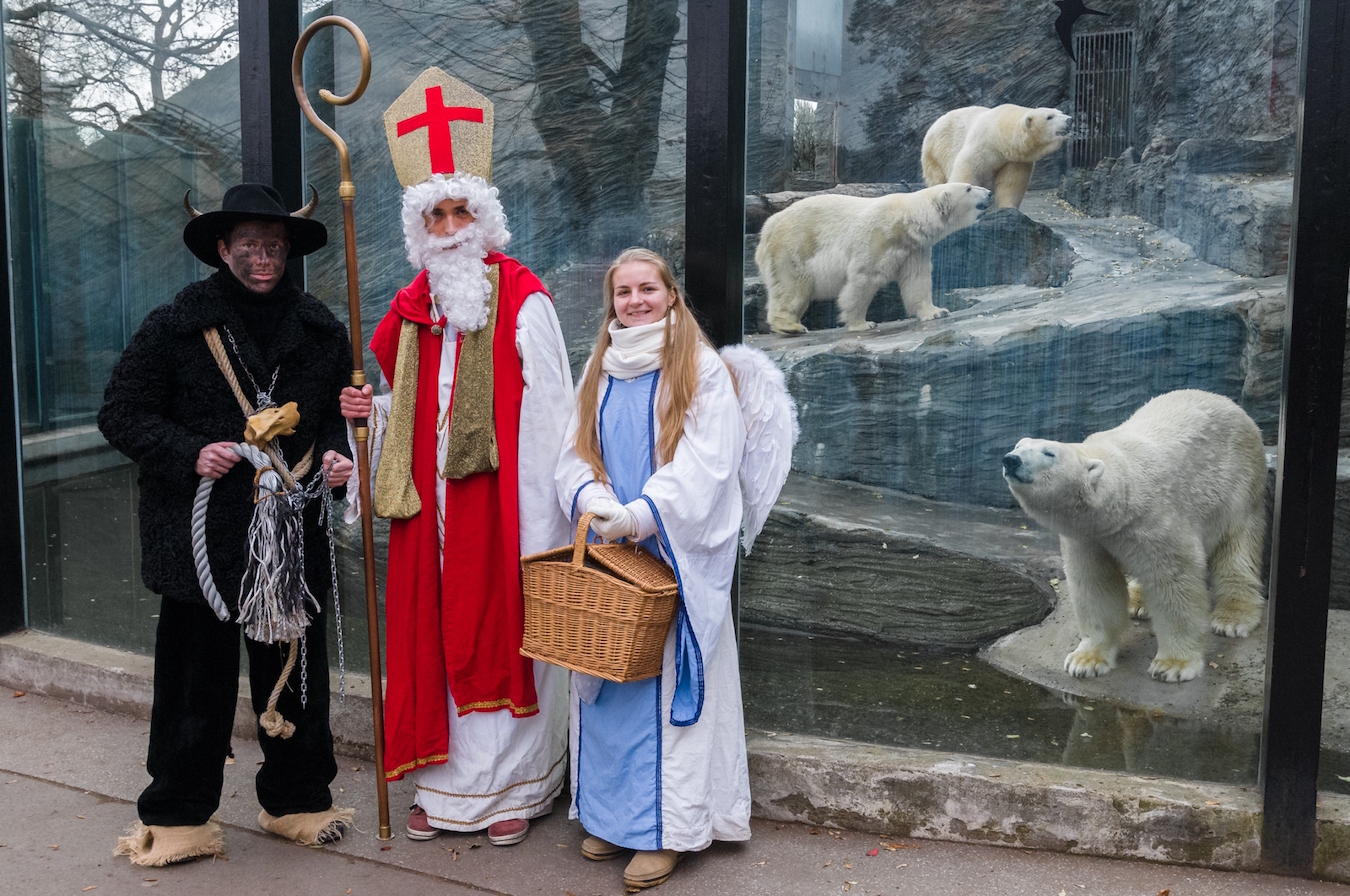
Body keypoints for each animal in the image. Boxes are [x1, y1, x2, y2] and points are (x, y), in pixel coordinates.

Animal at [761, 182, 993, 336]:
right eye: (969, 188)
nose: (990, 192)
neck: (907, 219)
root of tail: (768, 227)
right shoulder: (879, 235)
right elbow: (864, 278)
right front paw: (862, 323)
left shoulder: (914, 248)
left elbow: (917, 280)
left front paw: (937, 312)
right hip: (794, 246)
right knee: (792, 287)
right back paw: (790, 326)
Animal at [923, 105, 1069, 210]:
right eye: (1049, 117)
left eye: (1060, 111)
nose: (1069, 119)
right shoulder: (981, 145)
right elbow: (966, 170)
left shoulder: (1015, 160)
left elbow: (1011, 184)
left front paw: (1008, 208)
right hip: (937, 152)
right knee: (937, 178)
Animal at [999, 388, 1269, 682]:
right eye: (1018, 445)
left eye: (1049, 452)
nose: (1010, 459)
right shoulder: (1087, 538)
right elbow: (1096, 584)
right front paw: (1086, 660)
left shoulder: (1156, 519)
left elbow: (1174, 581)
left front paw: (1173, 664)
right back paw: (1138, 602)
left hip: (1239, 485)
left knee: (1237, 549)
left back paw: (1232, 618)